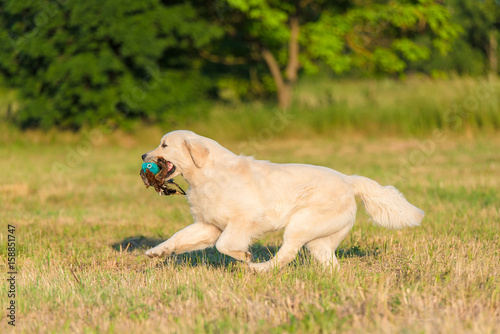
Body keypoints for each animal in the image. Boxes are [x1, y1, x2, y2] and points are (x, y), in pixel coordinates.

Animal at [142, 129, 426, 272]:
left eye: (164, 145)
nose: (144, 155)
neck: (207, 175)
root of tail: (349, 180)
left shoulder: (242, 221)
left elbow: (223, 246)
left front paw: (243, 255)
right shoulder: (207, 225)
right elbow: (179, 237)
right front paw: (157, 251)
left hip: (300, 225)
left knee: (287, 254)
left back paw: (260, 268)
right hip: (319, 241)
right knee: (329, 262)